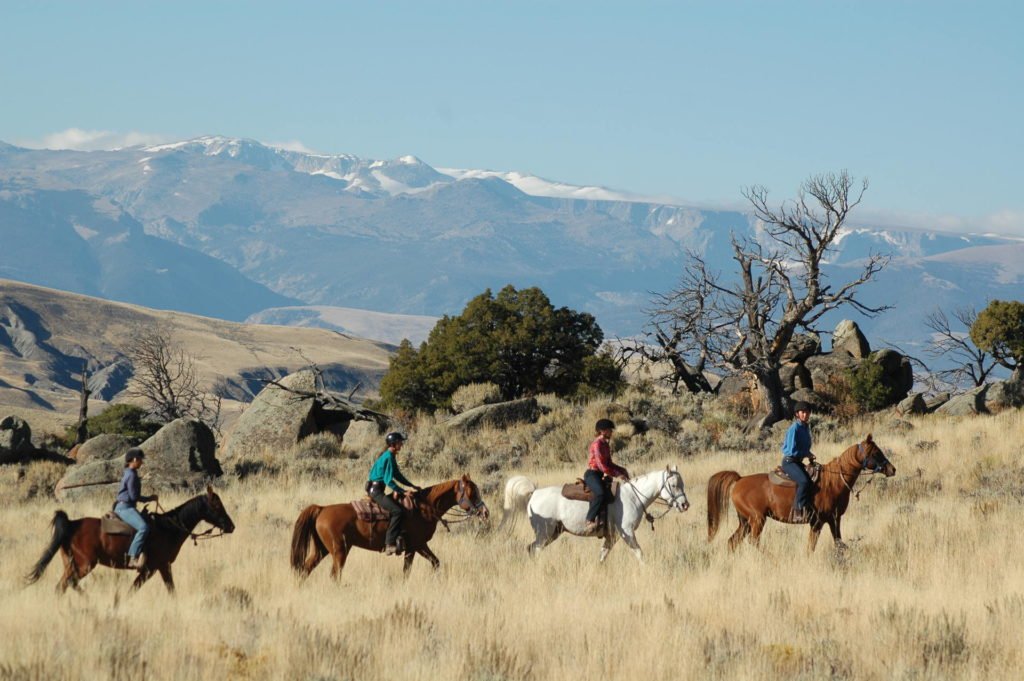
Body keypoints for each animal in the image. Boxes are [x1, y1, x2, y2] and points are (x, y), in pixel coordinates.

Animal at [27, 485, 237, 593]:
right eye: (216, 506)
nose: (231, 526)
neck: (168, 528)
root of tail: (71, 524)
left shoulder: (162, 567)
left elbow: (170, 590)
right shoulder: (152, 568)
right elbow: (134, 589)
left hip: (71, 564)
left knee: (64, 585)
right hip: (84, 564)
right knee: (68, 584)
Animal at [290, 473, 489, 577]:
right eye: (472, 492)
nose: (485, 512)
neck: (424, 508)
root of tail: (321, 509)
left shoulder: (417, 547)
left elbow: (433, 563)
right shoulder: (416, 545)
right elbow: (411, 570)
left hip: (322, 549)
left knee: (305, 569)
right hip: (339, 551)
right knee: (334, 574)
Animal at [509, 464, 692, 561]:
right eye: (674, 485)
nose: (684, 505)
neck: (633, 496)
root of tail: (534, 493)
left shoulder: (613, 536)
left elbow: (602, 555)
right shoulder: (627, 533)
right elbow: (639, 553)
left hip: (553, 533)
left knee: (531, 549)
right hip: (545, 533)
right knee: (535, 550)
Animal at [708, 436, 892, 552]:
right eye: (876, 453)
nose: (892, 469)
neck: (833, 482)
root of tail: (739, 479)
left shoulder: (834, 519)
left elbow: (839, 543)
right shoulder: (817, 522)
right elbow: (811, 547)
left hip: (745, 521)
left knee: (732, 542)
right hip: (757, 519)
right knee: (753, 541)